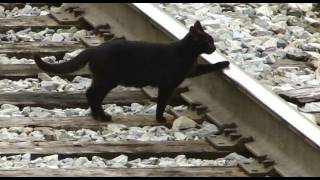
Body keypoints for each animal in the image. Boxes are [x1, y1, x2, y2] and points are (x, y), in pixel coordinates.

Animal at [34, 20, 230, 122]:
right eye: (209, 42)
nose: (214, 48)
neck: (188, 54)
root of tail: (95, 49)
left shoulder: (192, 70)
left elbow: (207, 67)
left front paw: (224, 62)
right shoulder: (167, 85)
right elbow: (162, 103)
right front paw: (160, 119)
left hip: (104, 80)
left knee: (93, 95)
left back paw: (98, 115)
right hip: (107, 79)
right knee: (92, 94)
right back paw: (101, 117)